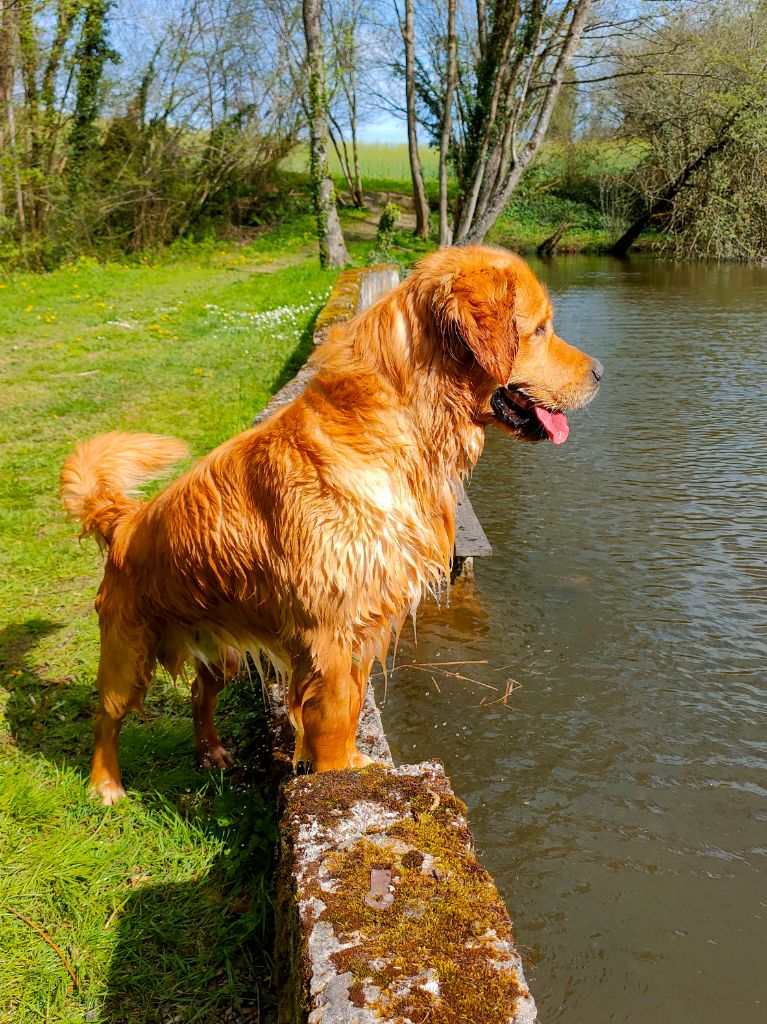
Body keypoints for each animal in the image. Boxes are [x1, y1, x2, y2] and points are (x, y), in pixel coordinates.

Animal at [61, 243, 598, 802]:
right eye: (540, 329)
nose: (602, 372)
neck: (398, 427)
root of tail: (125, 522)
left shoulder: (363, 628)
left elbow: (354, 708)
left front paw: (358, 765)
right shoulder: (331, 636)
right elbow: (335, 722)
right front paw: (342, 776)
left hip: (220, 650)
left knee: (197, 691)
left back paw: (211, 752)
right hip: (128, 654)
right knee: (106, 716)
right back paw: (106, 785)